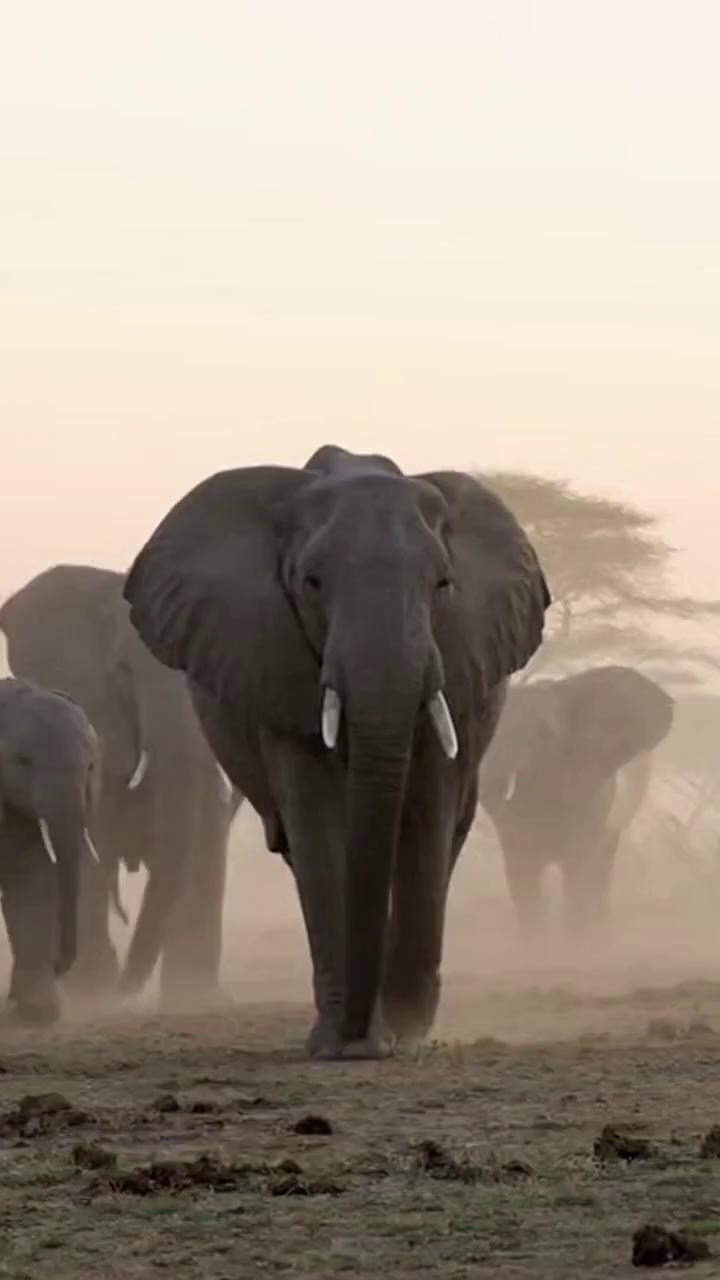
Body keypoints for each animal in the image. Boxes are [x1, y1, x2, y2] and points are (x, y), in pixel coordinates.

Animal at [122, 443, 551, 1059]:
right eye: (312, 582)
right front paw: (344, 1046)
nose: (364, 1039)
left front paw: (401, 1035)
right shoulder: (274, 665)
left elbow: (427, 808)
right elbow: (317, 815)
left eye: (443, 584)